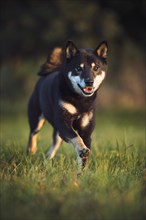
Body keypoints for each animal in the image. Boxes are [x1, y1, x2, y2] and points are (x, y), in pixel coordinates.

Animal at [26, 40, 108, 174]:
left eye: (96, 68)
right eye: (78, 68)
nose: (89, 81)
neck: (80, 101)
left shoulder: (86, 130)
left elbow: (84, 152)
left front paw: (82, 173)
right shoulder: (63, 123)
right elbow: (76, 138)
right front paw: (82, 150)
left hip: (57, 133)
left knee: (53, 147)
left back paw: (47, 161)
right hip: (37, 118)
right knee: (33, 133)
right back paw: (31, 150)